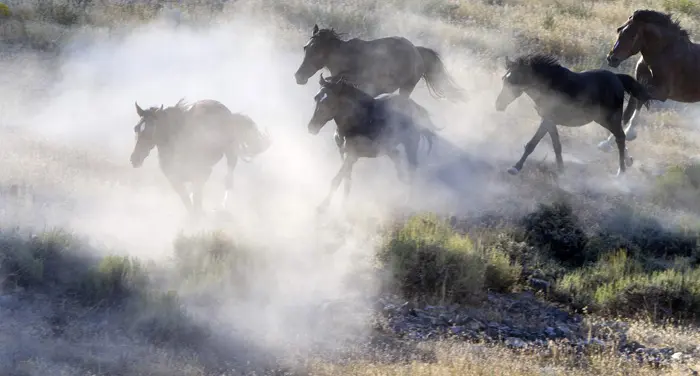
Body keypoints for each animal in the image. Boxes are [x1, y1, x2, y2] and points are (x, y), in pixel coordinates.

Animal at [130, 98, 272, 216]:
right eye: (136, 128)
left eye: (151, 130)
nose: (134, 159)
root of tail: (229, 114)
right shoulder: (174, 179)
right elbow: (187, 200)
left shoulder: (200, 172)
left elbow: (196, 198)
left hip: (231, 152)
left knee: (228, 179)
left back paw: (223, 206)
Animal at [308, 73, 440, 212]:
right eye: (316, 98)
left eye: (329, 102)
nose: (311, 127)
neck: (358, 121)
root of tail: (415, 106)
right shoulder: (343, 153)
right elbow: (346, 180)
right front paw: (344, 205)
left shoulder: (352, 155)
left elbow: (337, 179)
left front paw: (322, 207)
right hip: (389, 147)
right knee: (397, 157)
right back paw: (402, 178)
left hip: (411, 144)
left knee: (412, 167)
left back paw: (408, 201)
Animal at [492, 53, 652, 178]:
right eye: (504, 79)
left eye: (514, 81)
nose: (498, 105)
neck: (551, 86)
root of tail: (617, 78)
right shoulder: (549, 121)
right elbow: (556, 146)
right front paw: (561, 171)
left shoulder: (548, 119)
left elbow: (532, 144)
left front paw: (515, 168)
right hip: (602, 120)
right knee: (619, 136)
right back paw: (628, 161)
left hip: (609, 119)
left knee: (621, 137)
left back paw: (621, 172)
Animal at [600, 8, 700, 151]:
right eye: (619, 30)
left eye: (633, 36)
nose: (611, 59)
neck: (664, 54)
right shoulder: (638, 84)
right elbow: (627, 113)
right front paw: (606, 143)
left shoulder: (660, 93)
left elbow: (640, 102)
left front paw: (630, 133)